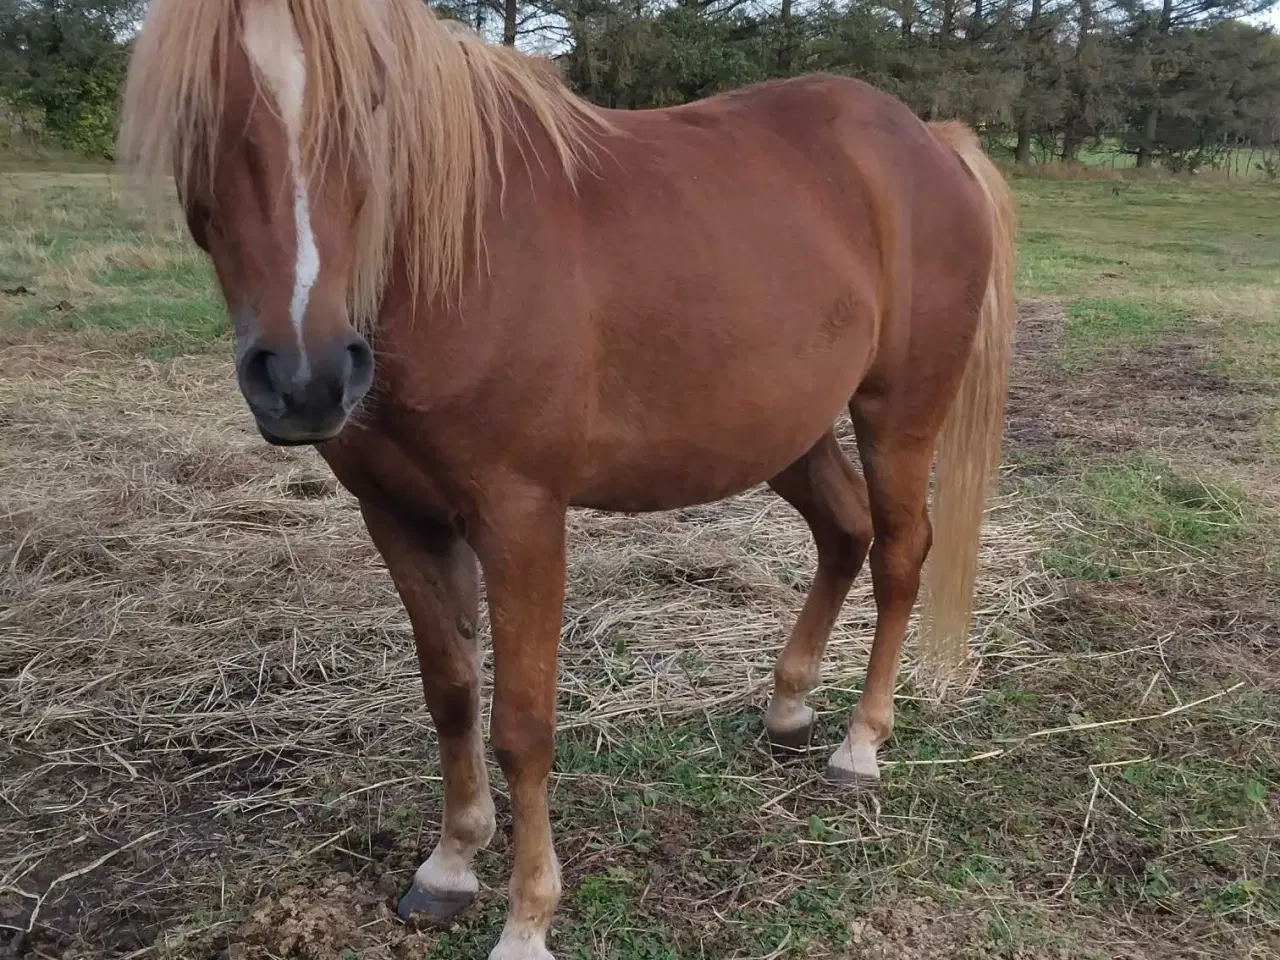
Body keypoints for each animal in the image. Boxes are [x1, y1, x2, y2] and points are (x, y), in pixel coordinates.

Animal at [118, 1, 1015, 957]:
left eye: (371, 105)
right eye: (196, 109)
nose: (305, 378)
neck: (454, 262)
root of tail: (927, 139)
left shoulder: (521, 517)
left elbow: (523, 725)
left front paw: (527, 921)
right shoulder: (397, 515)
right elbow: (451, 691)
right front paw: (450, 864)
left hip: (898, 414)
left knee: (900, 554)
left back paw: (861, 746)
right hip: (790, 432)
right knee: (844, 531)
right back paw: (789, 709)